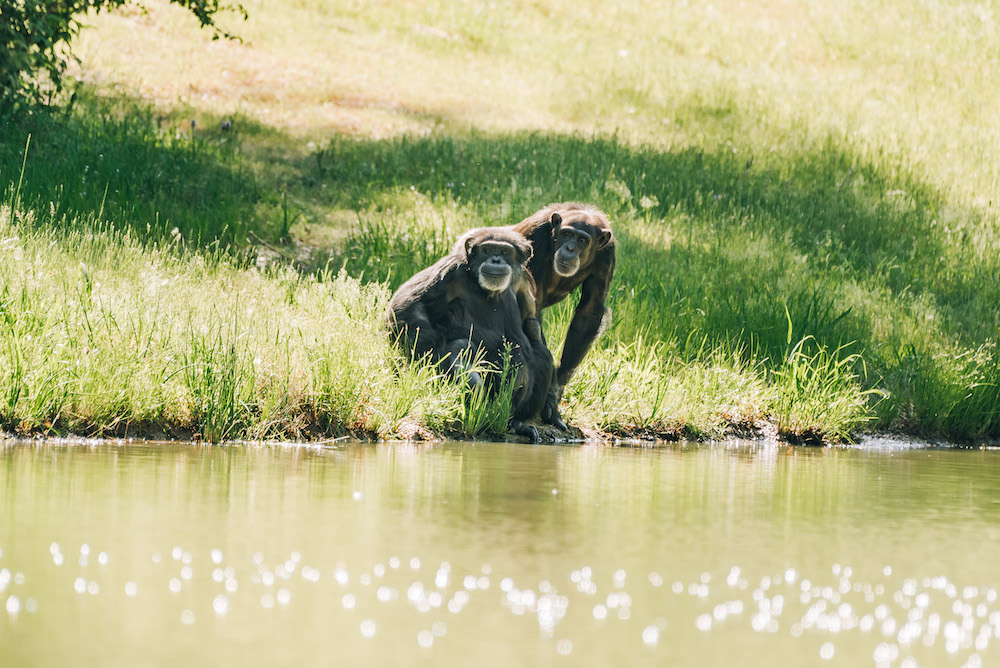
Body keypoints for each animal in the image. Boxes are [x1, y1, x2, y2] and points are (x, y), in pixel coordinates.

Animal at [384, 227, 556, 440]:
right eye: (488, 250)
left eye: (505, 252)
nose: (496, 260)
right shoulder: (450, 269)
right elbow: (408, 304)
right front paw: (428, 360)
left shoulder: (524, 280)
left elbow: (532, 323)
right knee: (460, 346)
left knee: (541, 354)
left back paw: (516, 423)